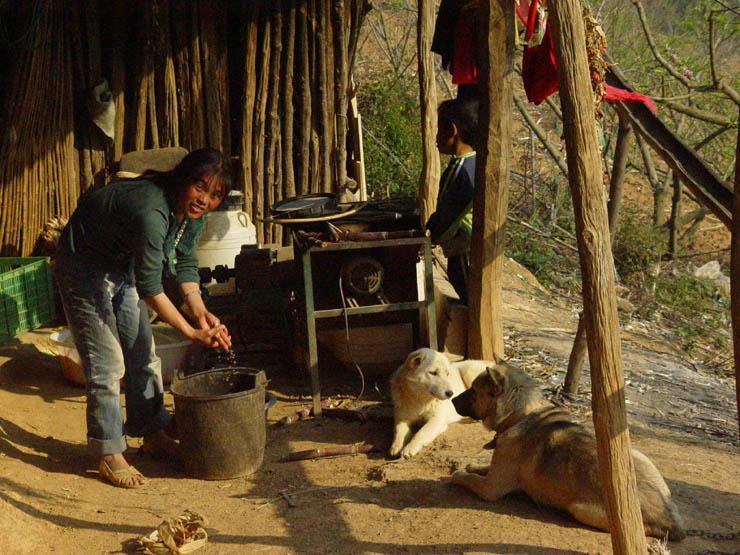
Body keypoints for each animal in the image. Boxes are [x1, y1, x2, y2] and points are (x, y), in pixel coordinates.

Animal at [450, 362, 688, 540]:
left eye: (473, 390)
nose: (451, 398)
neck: (521, 414)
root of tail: (672, 521)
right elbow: (484, 466)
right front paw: (475, 465)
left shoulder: (489, 489)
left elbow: (466, 478)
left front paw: (458, 474)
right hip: (635, 453)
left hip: (580, 509)